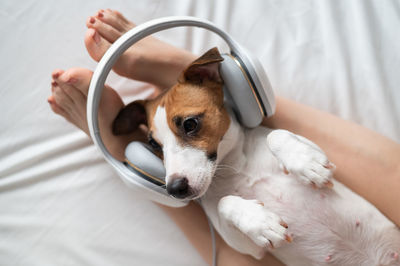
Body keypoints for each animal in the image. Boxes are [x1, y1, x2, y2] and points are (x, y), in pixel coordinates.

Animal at [111, 47, 400, 266]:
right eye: (153, 144)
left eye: (190, 124)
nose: (174, 189)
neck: (238, 167)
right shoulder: (246, 246)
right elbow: (226, 202)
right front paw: (261, 222)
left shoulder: (317, 148)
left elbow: (278, 136)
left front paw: (307, 165)